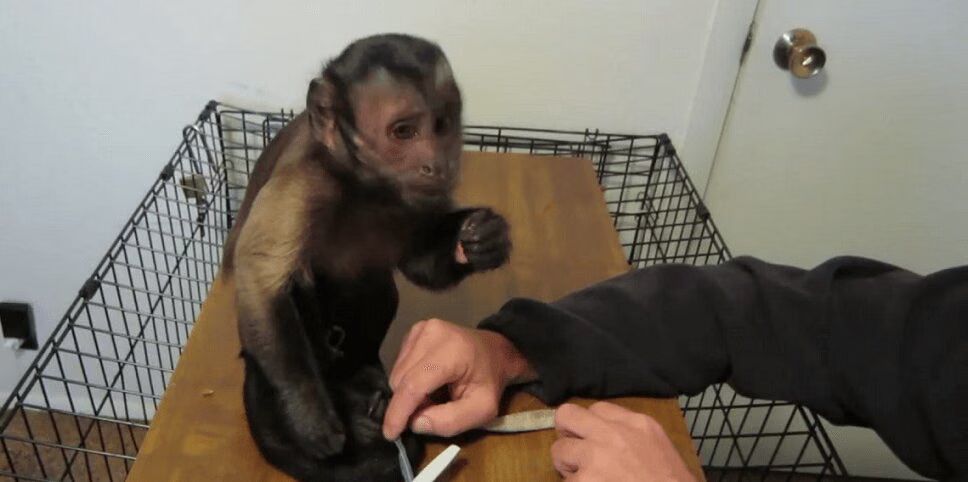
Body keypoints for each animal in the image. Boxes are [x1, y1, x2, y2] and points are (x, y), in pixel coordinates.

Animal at [221, 34, 511, 481]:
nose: (438, 163)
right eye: (404, 131)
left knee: (373, 285)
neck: (363, 185)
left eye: (442, 125)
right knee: (302, 282)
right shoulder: (303, 182)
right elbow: (261, 278)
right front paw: (305, 413)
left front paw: (483, 240)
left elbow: (420, 261)